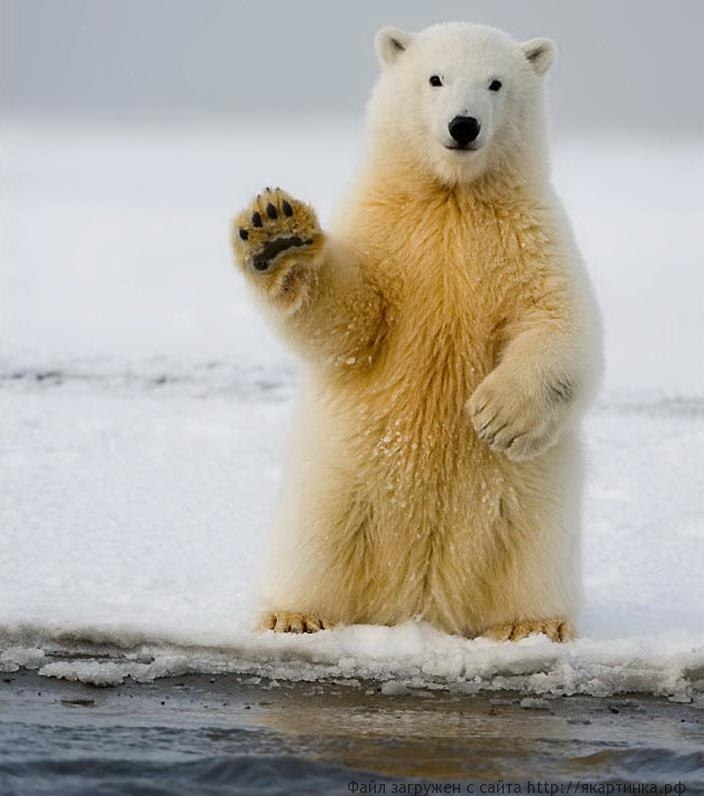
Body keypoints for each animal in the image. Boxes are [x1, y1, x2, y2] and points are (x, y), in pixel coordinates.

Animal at [234, 20, 604, 640]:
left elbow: (559, 322)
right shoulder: (386, 231)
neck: (452, 196)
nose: (464, 124)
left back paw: (530, 625)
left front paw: (498, 415)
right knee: (315, 542)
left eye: (496, 83)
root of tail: (421, 601)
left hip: (534, 503)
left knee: (531, 553)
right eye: (435, 78)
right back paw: (294, 614)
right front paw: (277, 235)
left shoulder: (531, 237)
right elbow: (352, 322)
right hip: (336, 481)